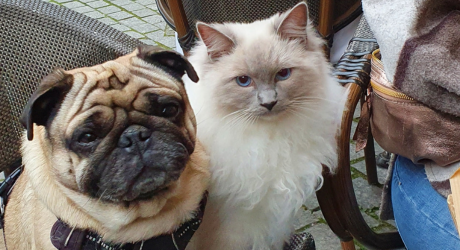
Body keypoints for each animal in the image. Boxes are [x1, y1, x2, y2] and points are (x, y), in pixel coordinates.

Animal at [183, 2, 344, 250]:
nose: (269, 103)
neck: (269, 140)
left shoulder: (270, 219)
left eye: (283, 74)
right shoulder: (231, 226)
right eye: (243, 81)